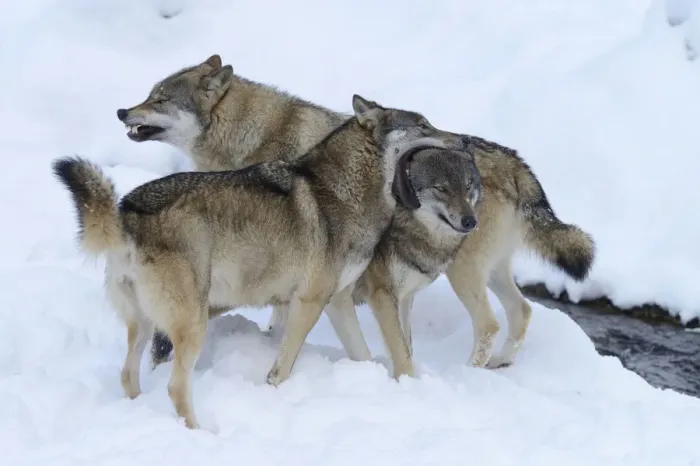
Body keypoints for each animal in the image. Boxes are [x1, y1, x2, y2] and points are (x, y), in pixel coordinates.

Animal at [55, 95, 467, 428]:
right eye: (424, 125)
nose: (463, 140)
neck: (345, 192)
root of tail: (125, 211)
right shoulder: (309, 302)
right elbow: (281, 369)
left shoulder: (337, 301)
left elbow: (362, 355)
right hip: (192, 323)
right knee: (175, 387)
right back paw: (201, 434)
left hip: (145, 323)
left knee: (127, 376)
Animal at [118, 54, 594, 370]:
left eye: (159, 99)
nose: (122, 110)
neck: (253, 135)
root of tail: (517, 162)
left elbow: (285, 314)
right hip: (491, 270)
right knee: (522, 311)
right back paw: (500, 365)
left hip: (464, 271)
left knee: (490, 322)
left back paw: (472, 373)